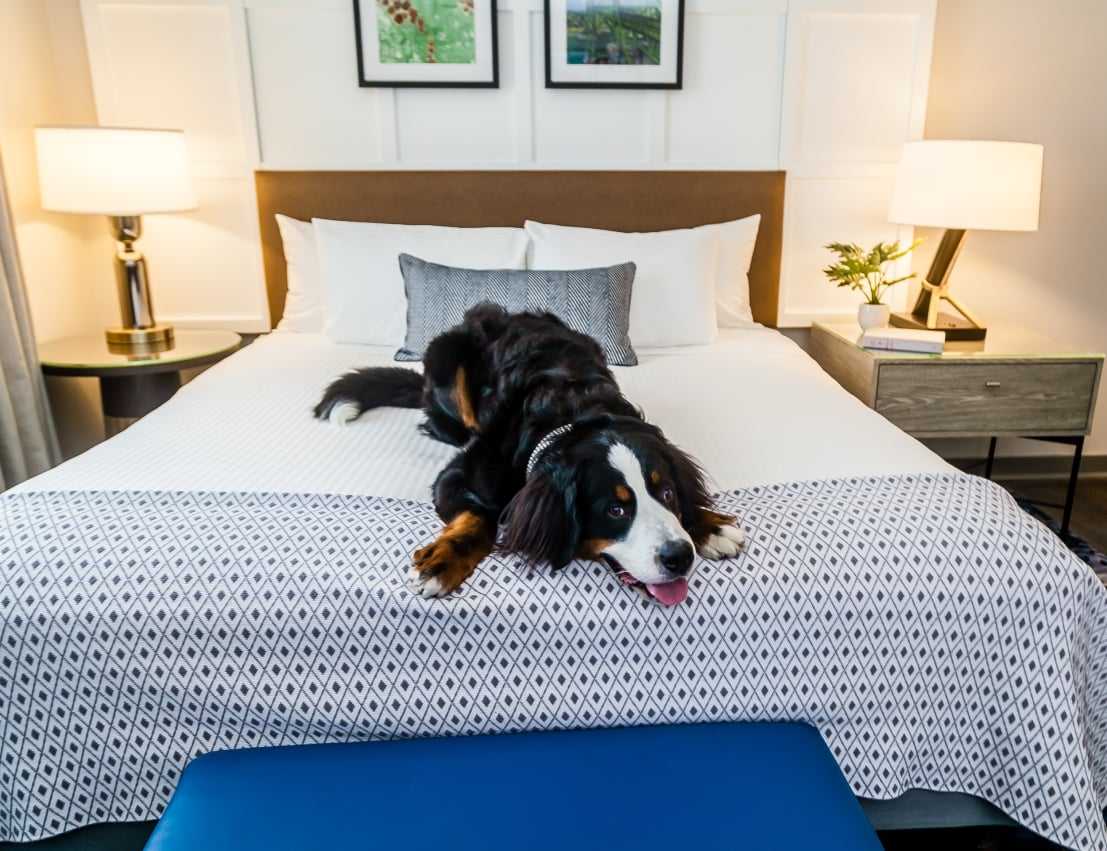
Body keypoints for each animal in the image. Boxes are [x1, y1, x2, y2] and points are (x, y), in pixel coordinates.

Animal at [314, 301, 743, 602]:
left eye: (667, 492)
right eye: (615, 510)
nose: (680, 557)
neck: (571, 417)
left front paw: (707, 523)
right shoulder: (455, 476)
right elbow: (479, 516)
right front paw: (443, 561)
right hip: (448, 361)